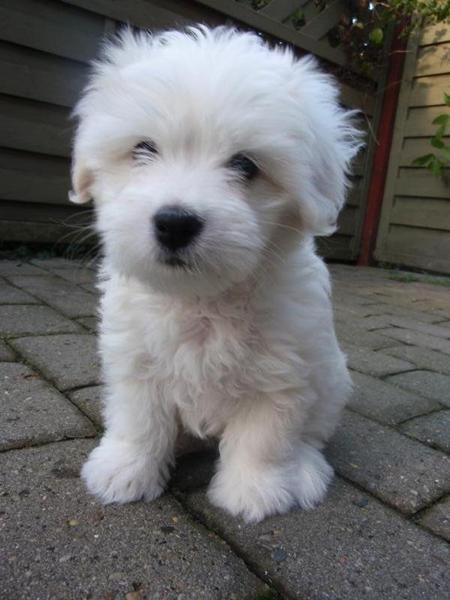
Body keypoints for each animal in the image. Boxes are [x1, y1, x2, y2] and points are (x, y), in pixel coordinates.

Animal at [71, 24, 362, 520]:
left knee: (310, 435)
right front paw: (125, 470)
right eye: (143, 149)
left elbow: (265, 435)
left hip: (331, 382)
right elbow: (139, 420)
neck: (202, 299)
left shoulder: (283, 371)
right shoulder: (135, 361)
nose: (175, 222)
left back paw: (303, 469)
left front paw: (254, 491)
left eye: (246, 164)